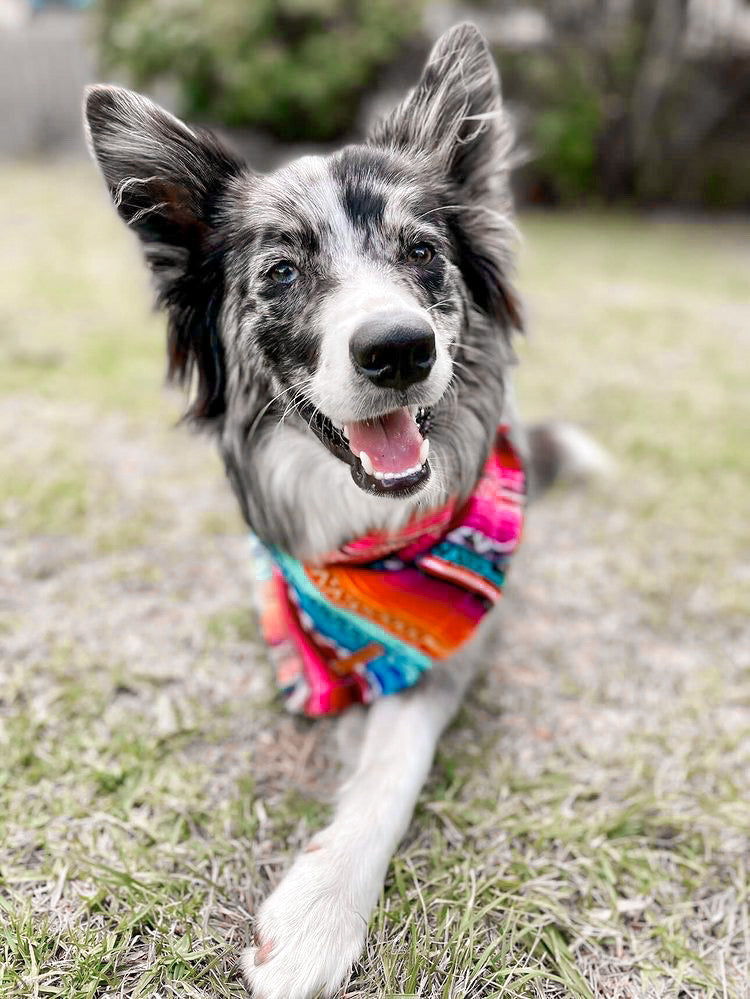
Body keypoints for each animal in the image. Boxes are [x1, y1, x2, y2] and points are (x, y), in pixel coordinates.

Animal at [83, 23, 612, 999]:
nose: (399, 349)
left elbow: (390, 770)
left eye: (421, 253)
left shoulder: (449, 655)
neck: (368, 543)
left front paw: (317, 913)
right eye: (284, 270)